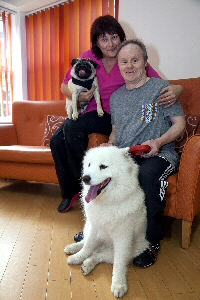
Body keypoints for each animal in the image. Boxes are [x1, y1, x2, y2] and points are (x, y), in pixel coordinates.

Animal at [64, 146, 148, 298]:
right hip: (88, 228)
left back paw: (87, 264)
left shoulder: (122, 239)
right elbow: (87, 246)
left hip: (131, 251)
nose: (85, 178)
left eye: (103, 166)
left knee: (99, 256)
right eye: (89, 165)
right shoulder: (94, 227)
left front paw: (119, 285)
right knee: (86, 244)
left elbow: (119, 265)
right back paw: (73, 250)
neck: (108, 202)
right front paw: (78, 256)